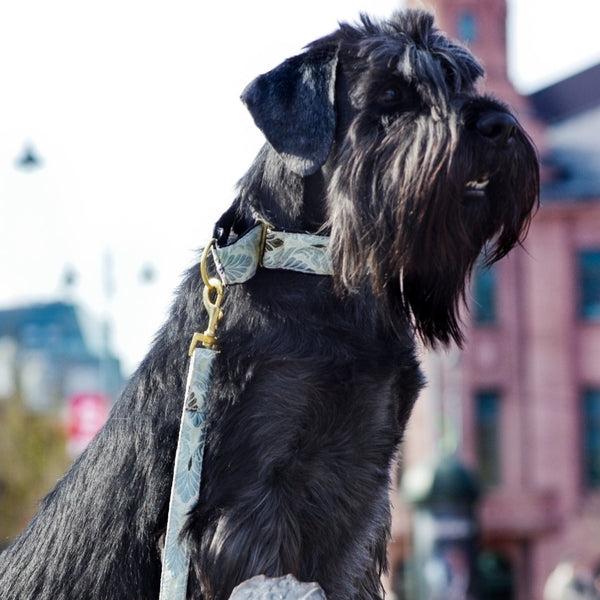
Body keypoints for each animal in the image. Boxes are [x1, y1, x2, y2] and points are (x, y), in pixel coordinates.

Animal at [0, 10, 536, 600]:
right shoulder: (254, 507)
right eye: (391, 94)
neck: (319, 268)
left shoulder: (362, 510)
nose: (498, 126)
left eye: (462, 79)